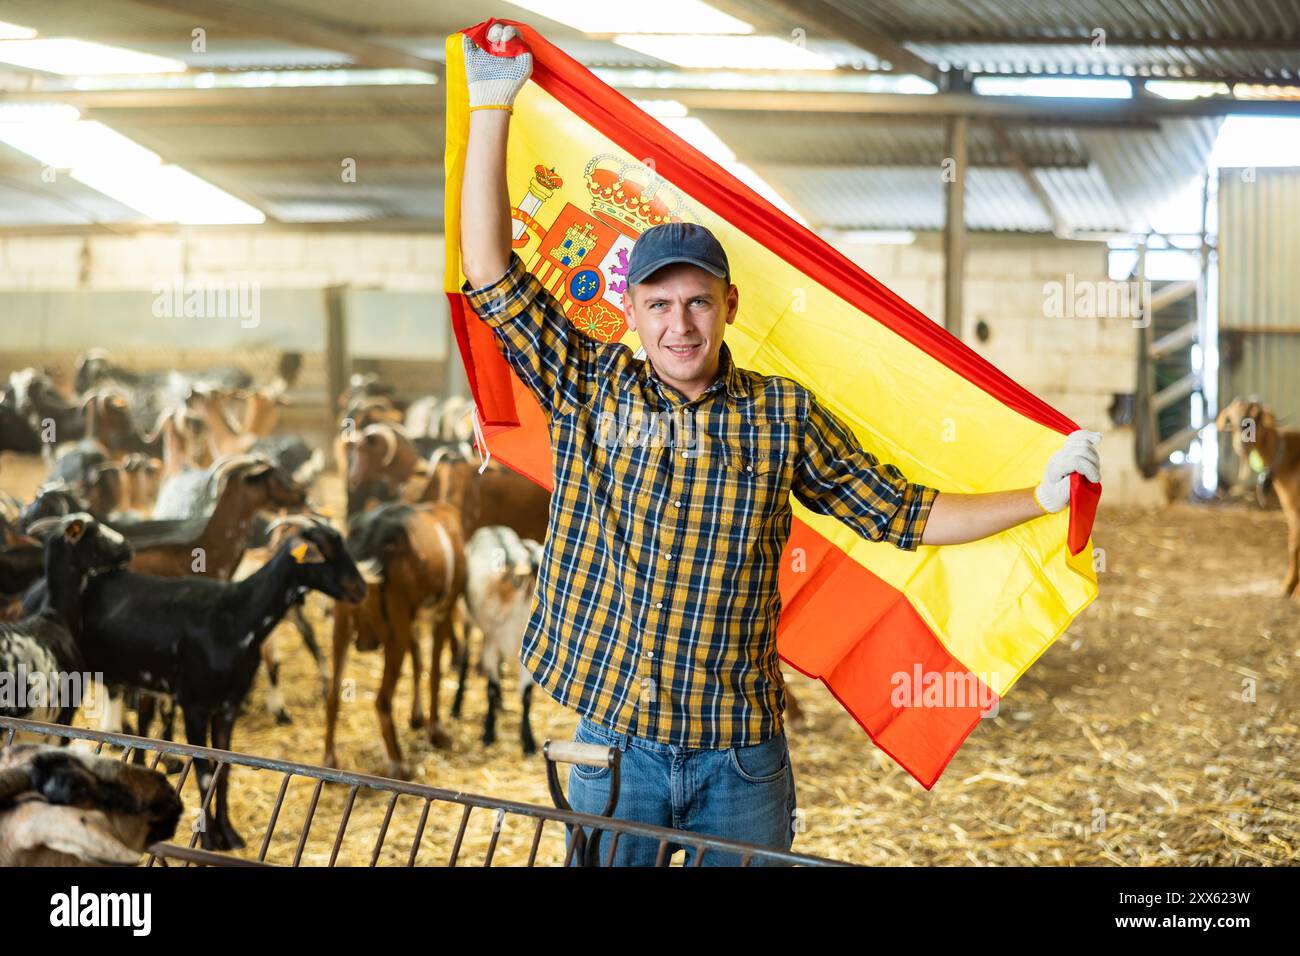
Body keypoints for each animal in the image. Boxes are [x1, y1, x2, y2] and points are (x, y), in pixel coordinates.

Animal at [74, 515, 366, 853]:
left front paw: (230, 835)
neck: (236, 616)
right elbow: (203, 770)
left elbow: (223, 769)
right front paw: (210, 839)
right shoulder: (195, 706)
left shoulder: (228, 707)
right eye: (323, 552)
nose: (361, 590)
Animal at [327, 502, 470, 780]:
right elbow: (434, 672)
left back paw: (329, 760)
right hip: (395, 630)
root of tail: (368, 544)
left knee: (332, 695)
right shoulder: (442, 613)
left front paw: (417, 718)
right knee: (382, 700)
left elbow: (418, 663)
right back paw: (399, 764)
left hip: (343, 626)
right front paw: (436, 732)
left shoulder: (412, 620)